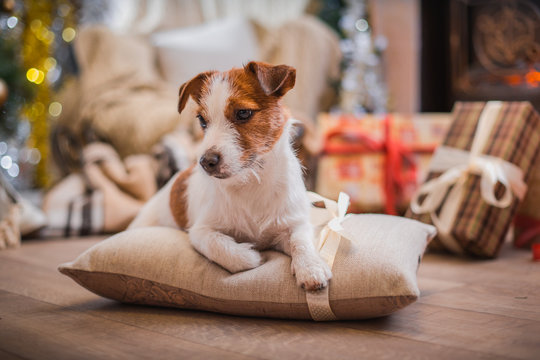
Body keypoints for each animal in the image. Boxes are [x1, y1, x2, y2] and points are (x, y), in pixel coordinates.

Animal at [130, 62, 334, 292]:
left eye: (243, 113)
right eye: (202, 120)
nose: (205, 162)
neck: (251, 180)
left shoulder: (294, 223)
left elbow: (301, 241)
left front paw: (310, 267)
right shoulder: (201, 232)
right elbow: (224, 249)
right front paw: (251, 254)